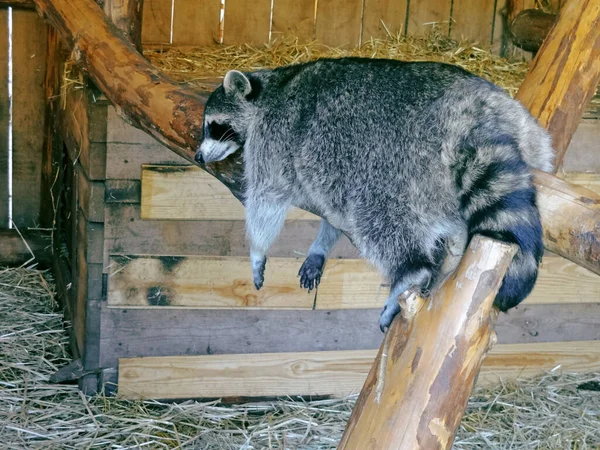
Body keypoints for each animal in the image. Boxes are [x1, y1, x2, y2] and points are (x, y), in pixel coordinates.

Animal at [196, 57, 552, 330]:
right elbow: (331, 209)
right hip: (529, 136)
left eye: (214, 125)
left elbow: (267, 196)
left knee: (378, 216)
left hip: (399, 161)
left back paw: (410, 270)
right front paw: (320, 245)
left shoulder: (273, 134)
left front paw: (257, 251)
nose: (199, 156)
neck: (271, 87)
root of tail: (473, 111)